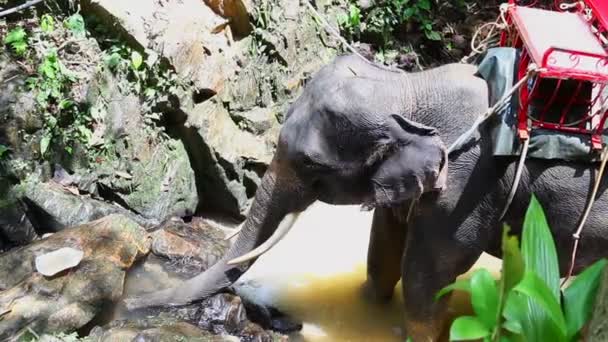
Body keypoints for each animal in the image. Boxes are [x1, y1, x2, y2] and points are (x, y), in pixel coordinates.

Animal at [126, 52, 608, 340]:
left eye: (311, 165)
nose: (127, 303)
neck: (410, 89)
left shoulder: (469, 183)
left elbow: (429, 273)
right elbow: (383, 249)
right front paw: (369, 305)